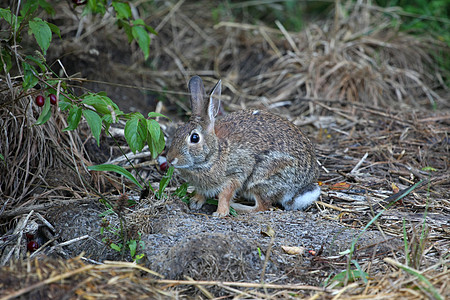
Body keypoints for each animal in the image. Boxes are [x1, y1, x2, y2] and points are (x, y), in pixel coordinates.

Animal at [166, 74, 320, 216]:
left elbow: (225, 194)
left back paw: (237, 207)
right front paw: (196, 201)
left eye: (195, 138)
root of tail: (298, 189)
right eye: (177, 131)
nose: (170, 159)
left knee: (262, 206)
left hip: (261, 179)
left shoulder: (236, 173)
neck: (216, 153)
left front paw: (220, 213)